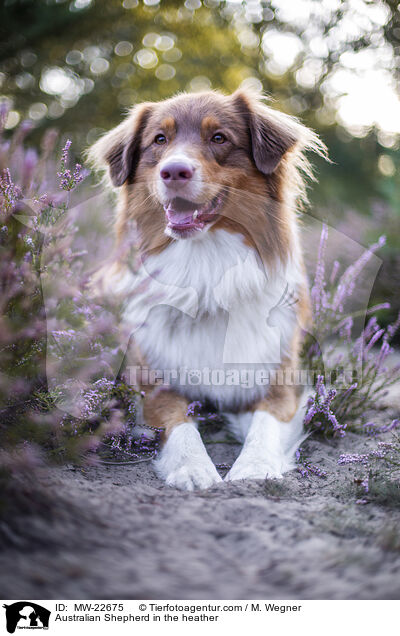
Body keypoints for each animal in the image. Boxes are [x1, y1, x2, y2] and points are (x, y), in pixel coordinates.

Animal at [88, 87, 324, 490]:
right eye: (160, 140)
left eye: (219, 138)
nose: (173, 171)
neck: (206, 270)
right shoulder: (153, 381)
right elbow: (180, 422)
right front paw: (192, 467)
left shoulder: (278, 380)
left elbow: (264, 423)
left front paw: (254, 466)